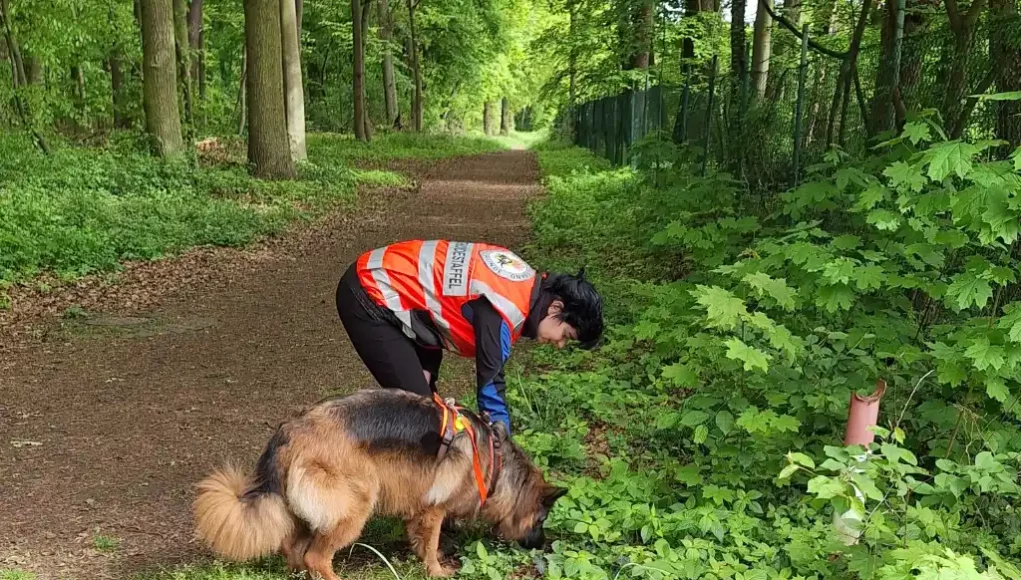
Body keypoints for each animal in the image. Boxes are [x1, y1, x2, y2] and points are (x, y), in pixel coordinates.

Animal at [191, 388, 567, 575]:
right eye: (542, 520)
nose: (542, 546)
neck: (494, 459)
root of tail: (289, 432)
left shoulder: (419, 510)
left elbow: (421, 540)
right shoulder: (434, 510)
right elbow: (431, 544)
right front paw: (437, 570)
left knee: (293, 547)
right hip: (354, 506)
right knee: (316, 556)